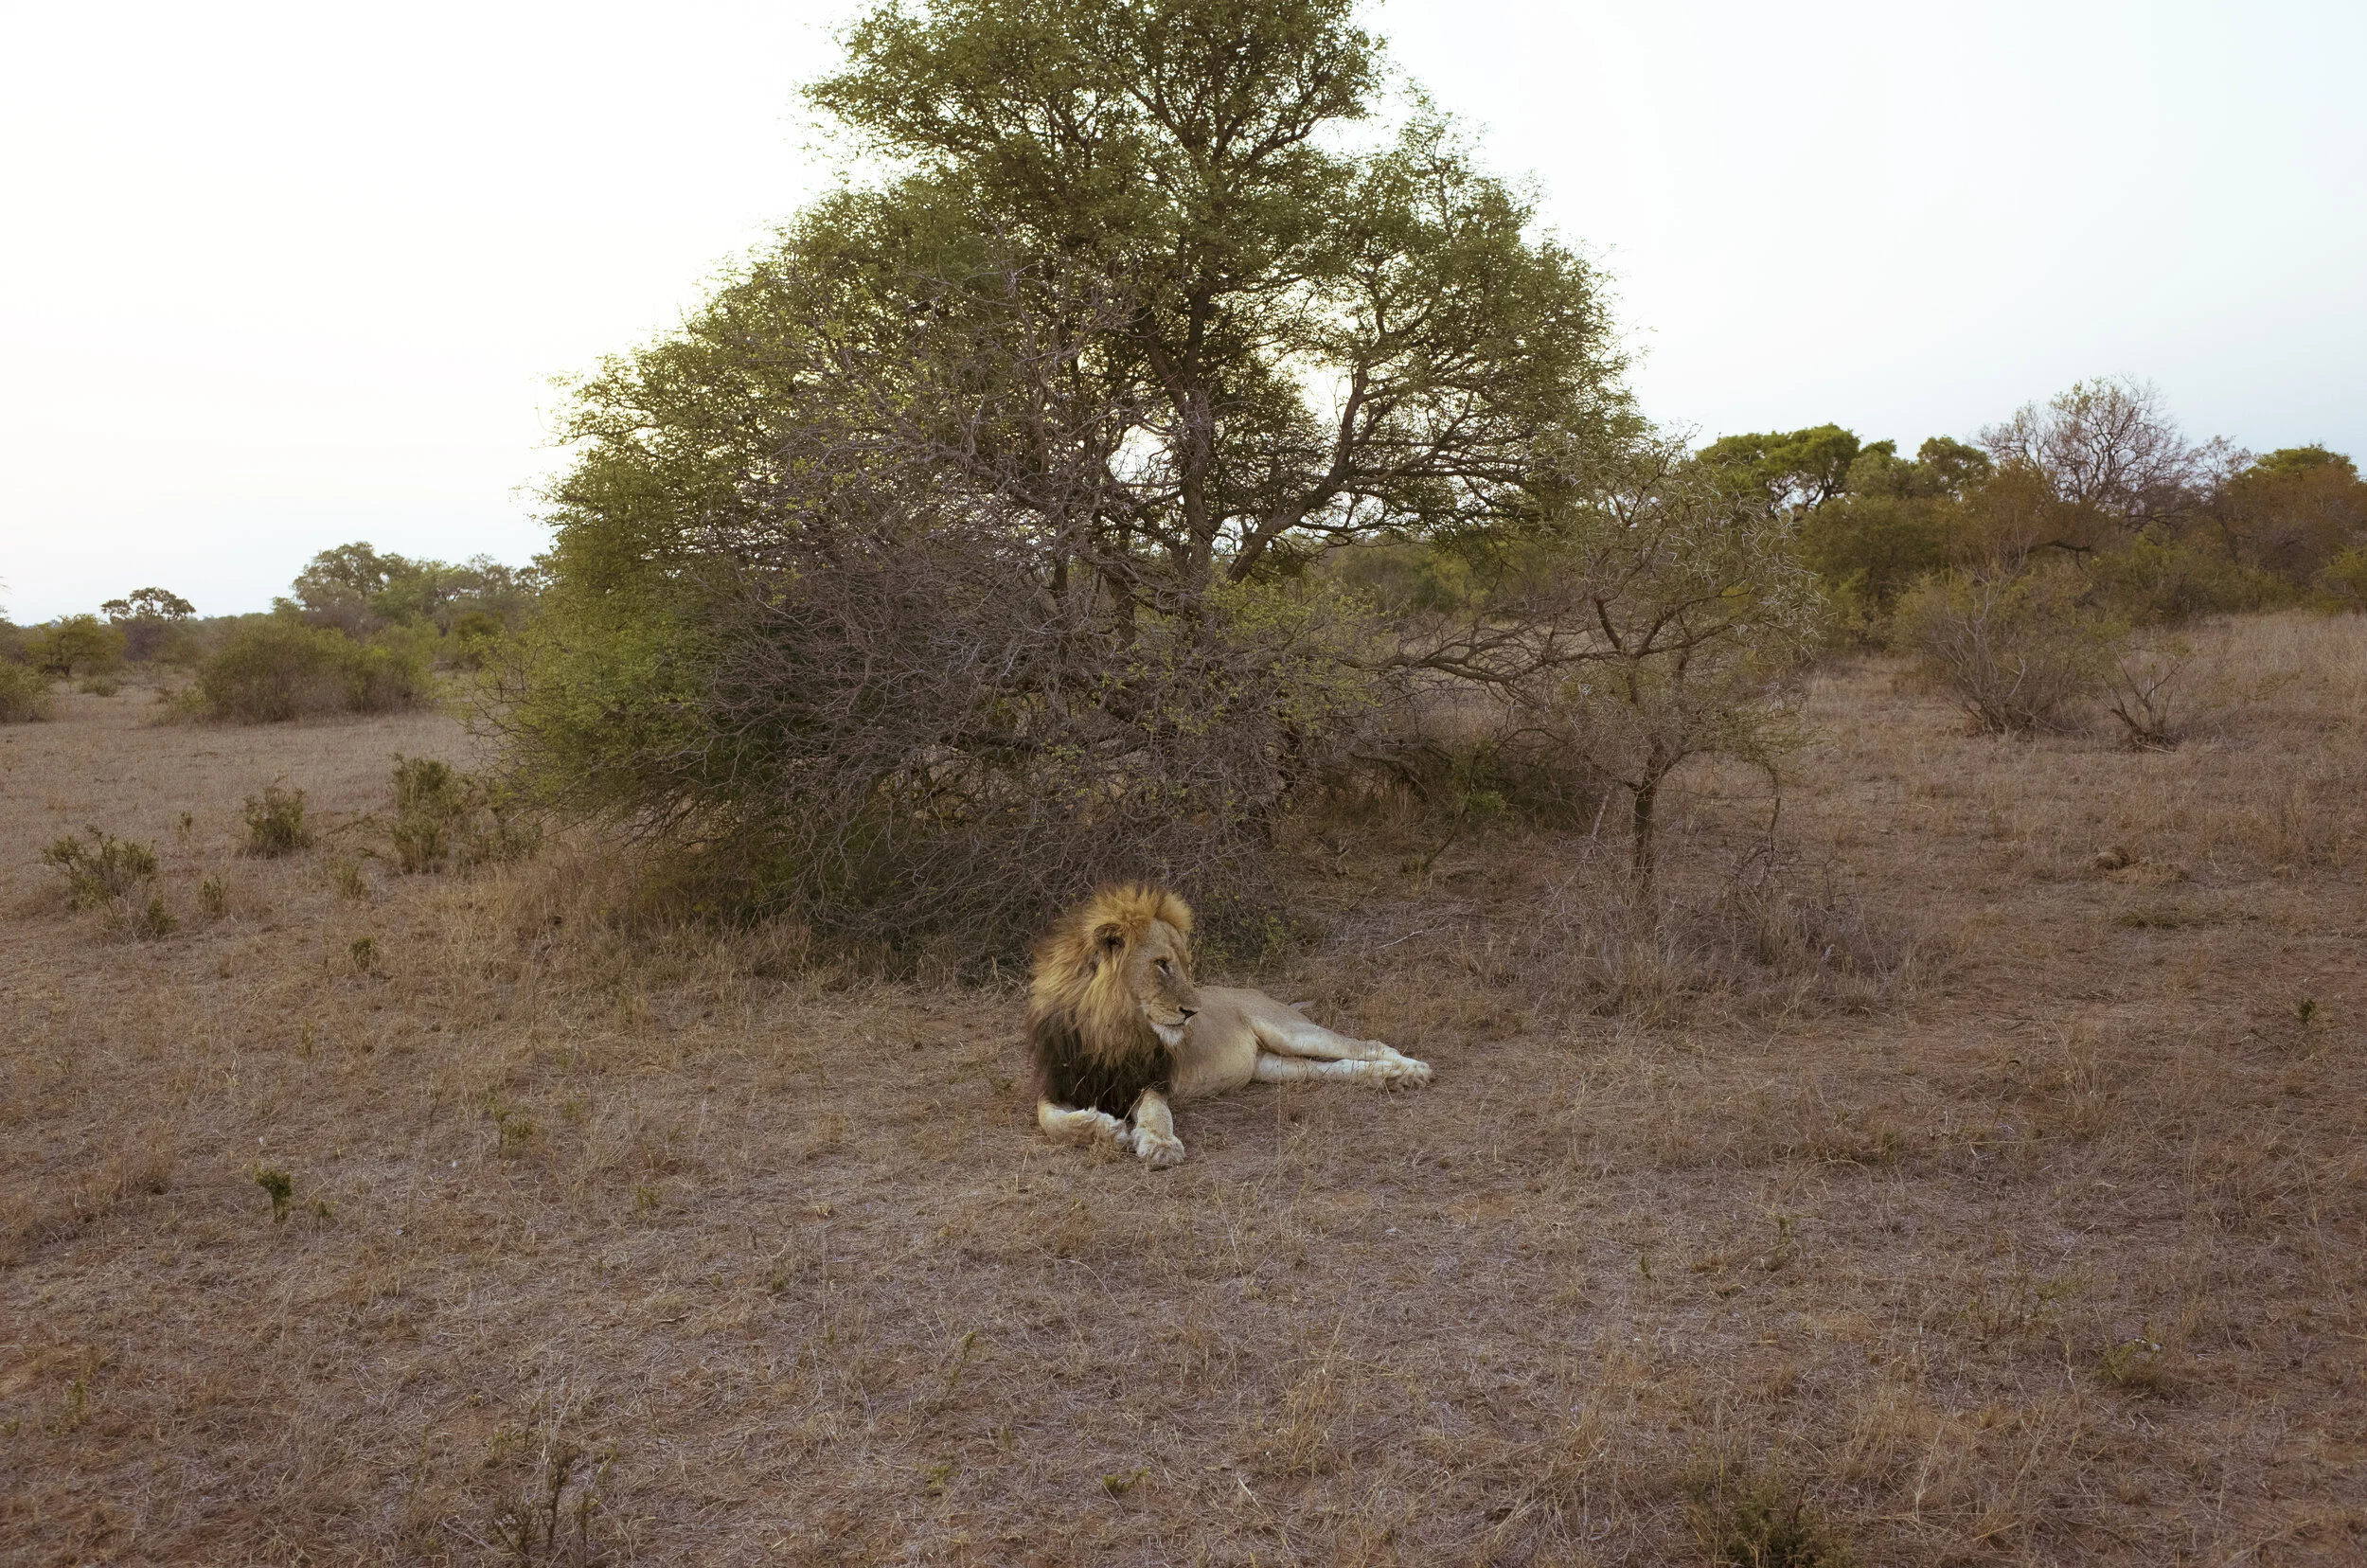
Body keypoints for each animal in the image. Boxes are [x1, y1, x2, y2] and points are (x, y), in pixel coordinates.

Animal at [1030, 884, 1431, 1167]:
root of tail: (1257, 992)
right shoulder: (1058, 1082)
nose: (1194, 1012)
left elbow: (1156, 1112)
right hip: (1272, 1067)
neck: (1108, 1029)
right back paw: (1390, 1077)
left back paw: (1411, 1070)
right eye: (1161, 964)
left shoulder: (1150, 1080)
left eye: (1184, 965)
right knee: (1331, 1069)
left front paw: (1159, 1144)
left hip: (1289, 1030)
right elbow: (1049, 1120)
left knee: (1367, 1044)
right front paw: (1105, 1130)